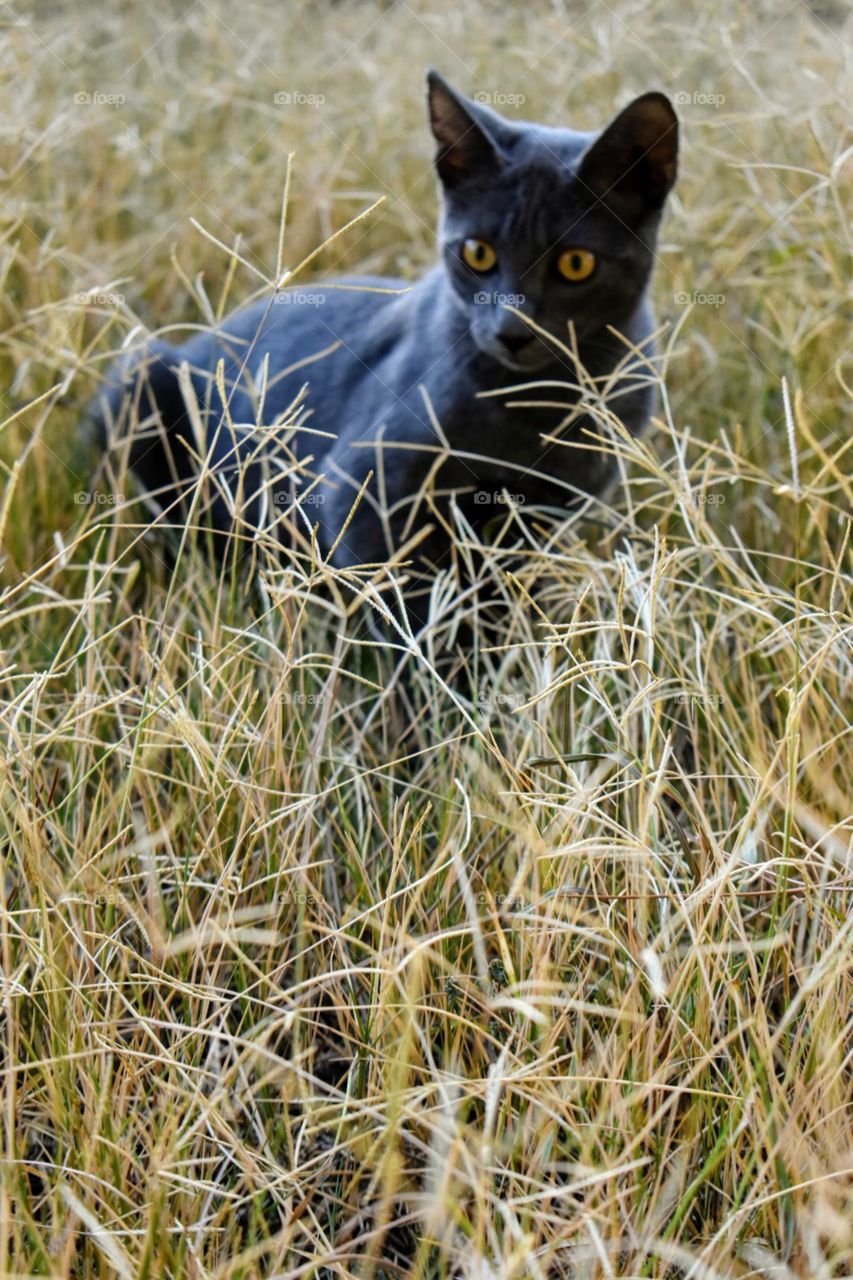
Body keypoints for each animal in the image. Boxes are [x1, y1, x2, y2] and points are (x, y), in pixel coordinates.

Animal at [92, 70, 676, 629]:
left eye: (576, 263)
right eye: (478, 253)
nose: (512, 329)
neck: (541, 407)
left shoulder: (545, 516)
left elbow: (504, 597)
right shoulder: (366, 489)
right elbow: (413, 615)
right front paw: (448, 667)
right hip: (139, 376)